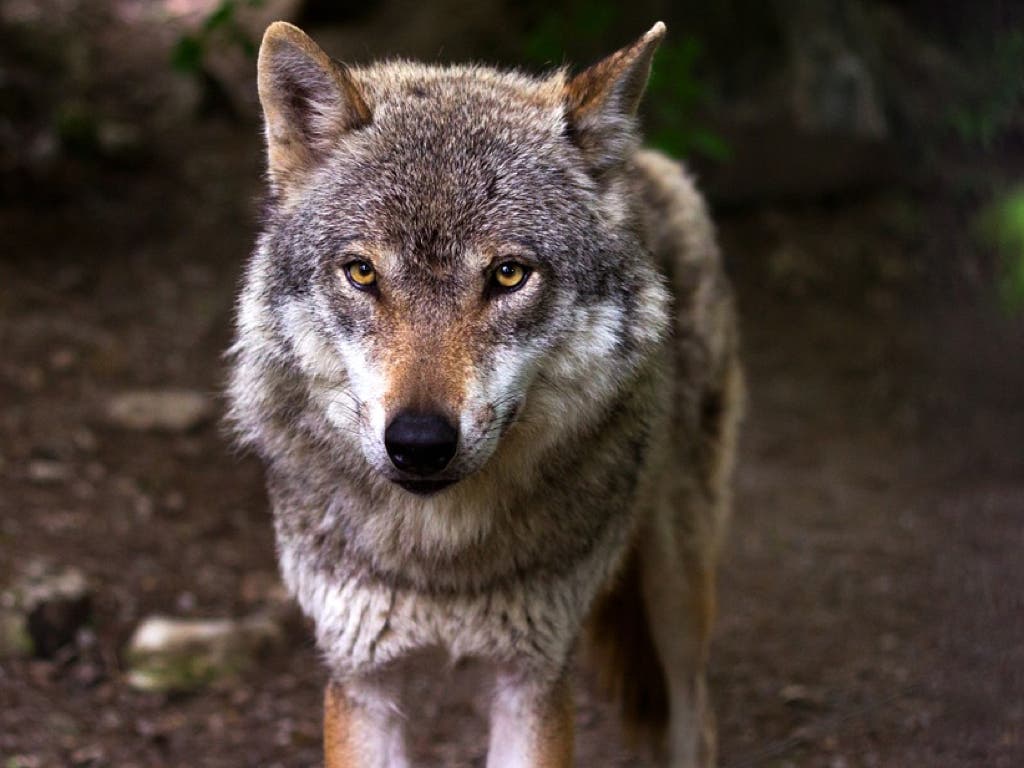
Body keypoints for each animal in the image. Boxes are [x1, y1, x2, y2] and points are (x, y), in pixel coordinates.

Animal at [228, 19, 745, 768]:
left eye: (507, 275)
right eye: (362, 272)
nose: (419, 443)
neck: (441, 560)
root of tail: (644, 161)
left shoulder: (531, 680)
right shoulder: (361, 680)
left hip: (677, 585)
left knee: (695, 716)